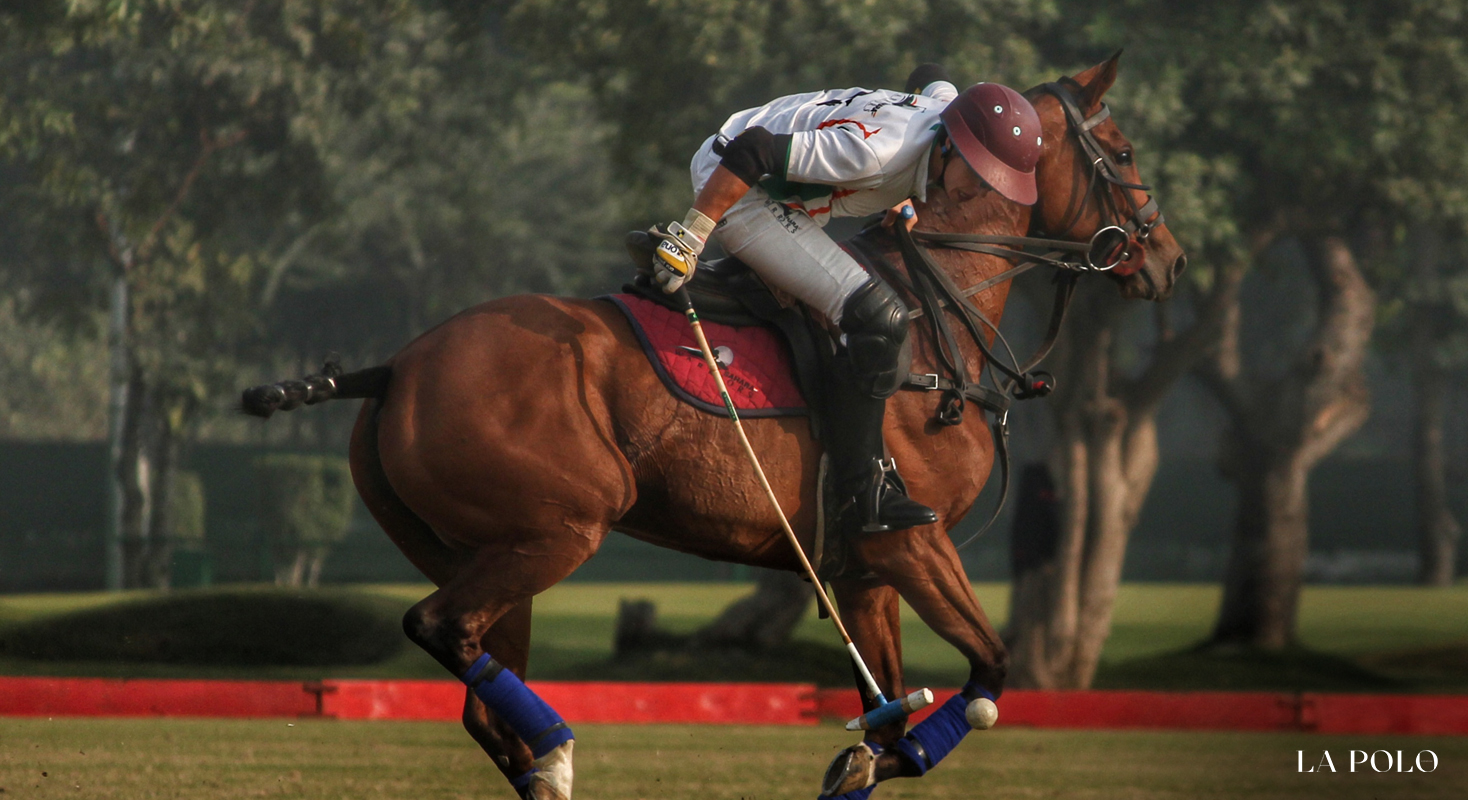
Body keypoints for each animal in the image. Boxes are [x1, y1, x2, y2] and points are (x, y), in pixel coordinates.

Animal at [246, 52, 1186, 792]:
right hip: (561, 527)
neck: (936, 314)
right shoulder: (911, 541)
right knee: (439, 628)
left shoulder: (863, 572)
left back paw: (545, 762)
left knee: (480, 697)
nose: (1170, 262)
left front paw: (864, 759)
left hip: (488, 547)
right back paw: (557, 743)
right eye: (1125, 152)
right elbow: (989, 673)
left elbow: (887, 718)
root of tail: (398, 366)